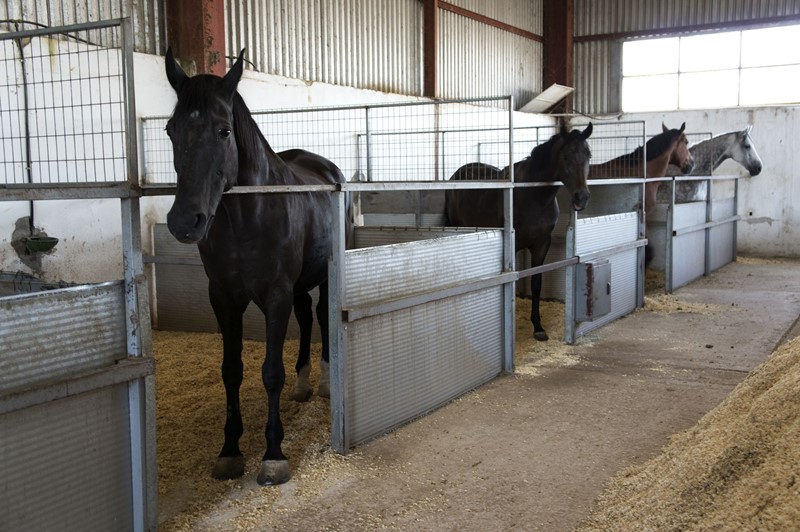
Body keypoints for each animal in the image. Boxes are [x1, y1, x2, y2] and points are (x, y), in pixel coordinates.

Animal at [164, 50, 348, 486]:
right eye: (170, 130)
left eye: (223, 131)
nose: (184, 221)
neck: (247, 216)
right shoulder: (223, 297)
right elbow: (232, 369)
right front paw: (230, 451)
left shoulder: (275, 294)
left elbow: (270, 373)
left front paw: (273, 454)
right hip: (297, 285)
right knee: (306, 315)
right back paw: (303, 384)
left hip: (322, 277)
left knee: (321, 314)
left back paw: (325, 383)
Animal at [444, 122, 592, 340]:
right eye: (566, 157)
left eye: (588, 155)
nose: (581, 198)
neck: (534, 196)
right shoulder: (513, 246)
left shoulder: (542, 244)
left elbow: (536, 283)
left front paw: (538, 326)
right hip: (460, 227)